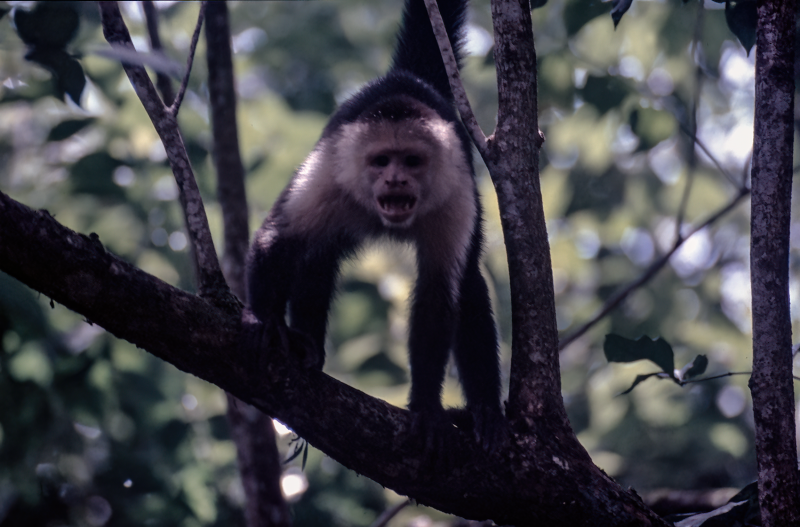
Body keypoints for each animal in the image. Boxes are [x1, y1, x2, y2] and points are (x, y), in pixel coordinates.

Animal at [247, 0, 504, 446]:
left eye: (412, 161)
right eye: (382, 160)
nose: (395, 180)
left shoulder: (454, 193)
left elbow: (439, 295)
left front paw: (426, 407)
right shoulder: (330, 172)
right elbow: (278, 240)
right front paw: (269, 322)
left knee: (469, 283)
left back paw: (484, 408)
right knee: (318, 252)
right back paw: (308, 344)